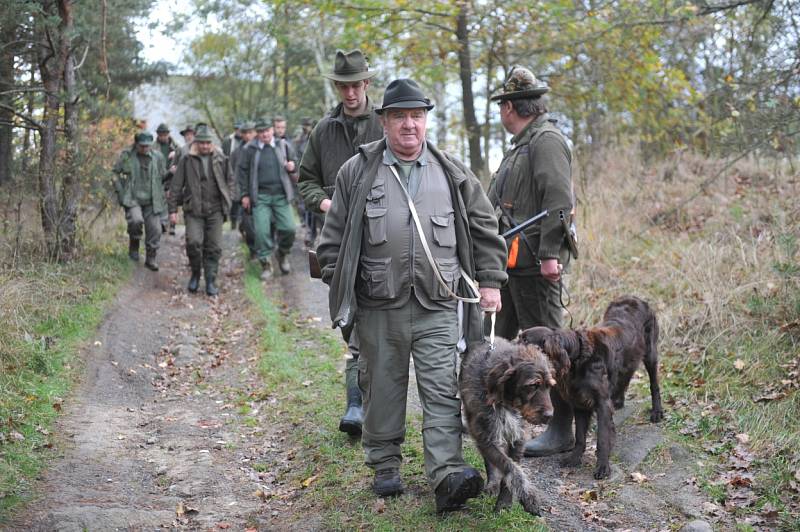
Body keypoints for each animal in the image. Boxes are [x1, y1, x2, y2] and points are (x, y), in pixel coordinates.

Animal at [460, 336, 552, 516]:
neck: (507, 403)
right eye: (532, 385)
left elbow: (512, 468)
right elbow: (510, 467)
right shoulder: (486, 438)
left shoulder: (518, 438)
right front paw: (529, 497)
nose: (550, 415)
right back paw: (492, 483)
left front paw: (504, 502)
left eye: (549, 386)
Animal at [520, 296, 664, 478]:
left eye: (526, 341)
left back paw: (657, 412)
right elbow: (580, 436)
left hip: (650, 352)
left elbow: (602, 437)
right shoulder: (579, 401)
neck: (579, 358)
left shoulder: (601, 403)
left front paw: (602, 466)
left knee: (654, 384)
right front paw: (574, 458)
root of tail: (635, 298)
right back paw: (619, 401)